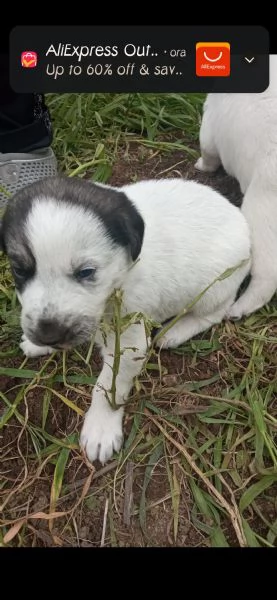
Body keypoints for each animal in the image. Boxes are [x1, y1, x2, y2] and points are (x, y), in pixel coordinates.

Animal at [0, 176, 250, 462]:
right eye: (19, 270)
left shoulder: (128, 341)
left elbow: (108, 384)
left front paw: (101, 427)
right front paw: (37, 345)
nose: (48, 335)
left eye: (86, 272)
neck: (120, 275)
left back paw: (174, 332)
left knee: (214, 313)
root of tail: (238, 216)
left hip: (213, 290)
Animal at [194, 55, 276, 318]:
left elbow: (208, 154)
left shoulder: (209, 125)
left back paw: (239, 309)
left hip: (260, 219)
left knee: (267, 277)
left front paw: (201, 166)